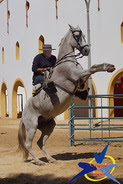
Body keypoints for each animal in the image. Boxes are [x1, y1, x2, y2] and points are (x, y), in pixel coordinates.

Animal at [17, 24, 115, 165]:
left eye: (83, 35)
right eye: (77, 35)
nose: (86, 50)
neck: (67, 61)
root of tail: (23, 114)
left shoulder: (81, 78)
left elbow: (90, 72)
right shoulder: (77, 75)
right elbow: (93, 68)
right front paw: (108, 67)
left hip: (48, 126)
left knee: (40, 142)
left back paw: (50, 159)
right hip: (32, 126)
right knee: (28, 144)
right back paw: (39, 161)